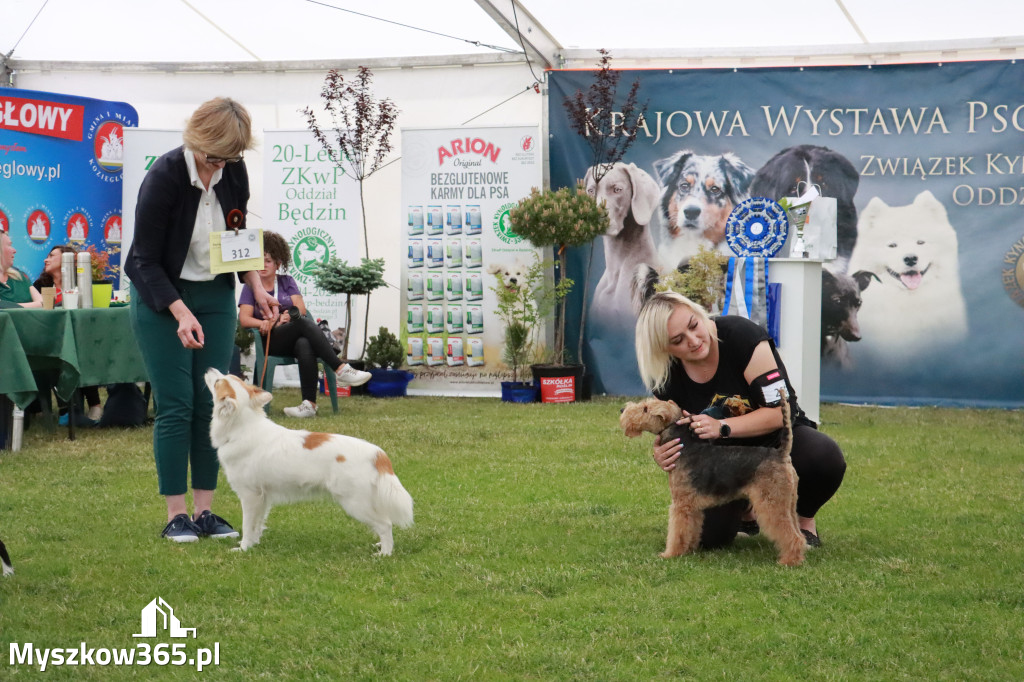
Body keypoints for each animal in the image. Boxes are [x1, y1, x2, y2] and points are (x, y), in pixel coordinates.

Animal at [203, 366, 411, 552]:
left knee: (385, 524)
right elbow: (256, 526)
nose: (209, 368)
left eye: (217, 381)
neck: (243, 427)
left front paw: (243, 549)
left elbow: (248, 526)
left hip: (355, 503)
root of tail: (377, 453)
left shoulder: (250, 496)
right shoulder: (263, 498)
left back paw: (384, 553)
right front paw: (253, 545)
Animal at [614, 391, 806, 565]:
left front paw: (670, 554)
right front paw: (689, 549)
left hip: (771, 502)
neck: (685, 447)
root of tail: (781, 453)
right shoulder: (693, 507)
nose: (622, 410)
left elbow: (677, 532)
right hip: (788, 502)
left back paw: (789, 561)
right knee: (798, 532)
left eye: (646, 409)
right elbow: (691, 530)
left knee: (790, 534)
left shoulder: (681, 504)